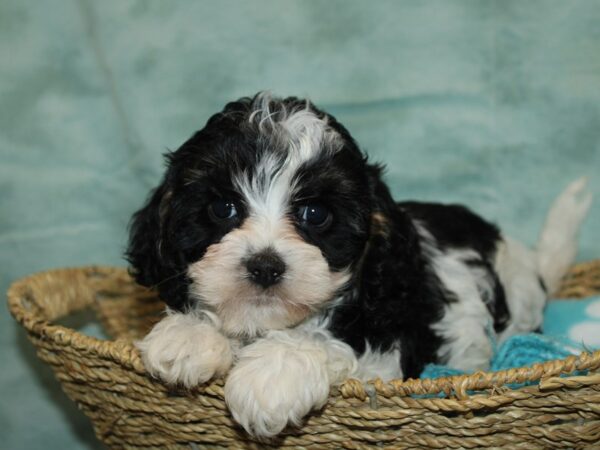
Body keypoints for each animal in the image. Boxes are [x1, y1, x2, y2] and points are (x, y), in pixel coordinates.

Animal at [126, 93, 592, 438]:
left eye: (315, 214)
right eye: (223, 208)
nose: (265, 265)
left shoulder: (387, 345)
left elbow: (327, 342)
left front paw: (270, 375)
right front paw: (188, 335)